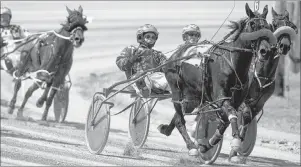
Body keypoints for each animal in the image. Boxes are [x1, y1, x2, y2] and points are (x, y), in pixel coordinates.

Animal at [157, 3, 276, 158]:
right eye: (253, 25)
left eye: (267, 27)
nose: (265, 51)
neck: (232, 64)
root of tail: (174, 56)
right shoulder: (220, 97)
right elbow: (231, 114)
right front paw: (235, 141)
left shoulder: (237, 100)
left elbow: (227, 120)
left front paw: (208, 144)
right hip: (176, 89)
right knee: (179, 119)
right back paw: (191, 146)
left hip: (193, 96)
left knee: (180, 113)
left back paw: (168, 130)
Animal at [230, 6, 298, 158]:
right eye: (274, 24)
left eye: (291, 26)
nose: (284, 46)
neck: (263, 74)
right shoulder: (244, 99)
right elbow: (243, 115)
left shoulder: (259, 103)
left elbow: (248, 119)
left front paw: (238, 145)